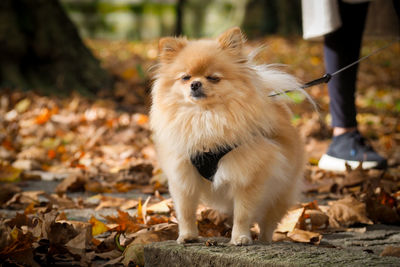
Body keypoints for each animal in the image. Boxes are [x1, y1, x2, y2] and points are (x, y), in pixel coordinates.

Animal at [152, 27, 304, 247]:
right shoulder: (183, 176)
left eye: (213, 78)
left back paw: (265, 240)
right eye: (185, 77)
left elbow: (243, 213)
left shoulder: (247, 178)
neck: (205, 117)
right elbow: (186, 211)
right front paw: (187, 235)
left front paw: (240, 237)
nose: (195, 84)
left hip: (280, 193)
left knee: (269, 221)